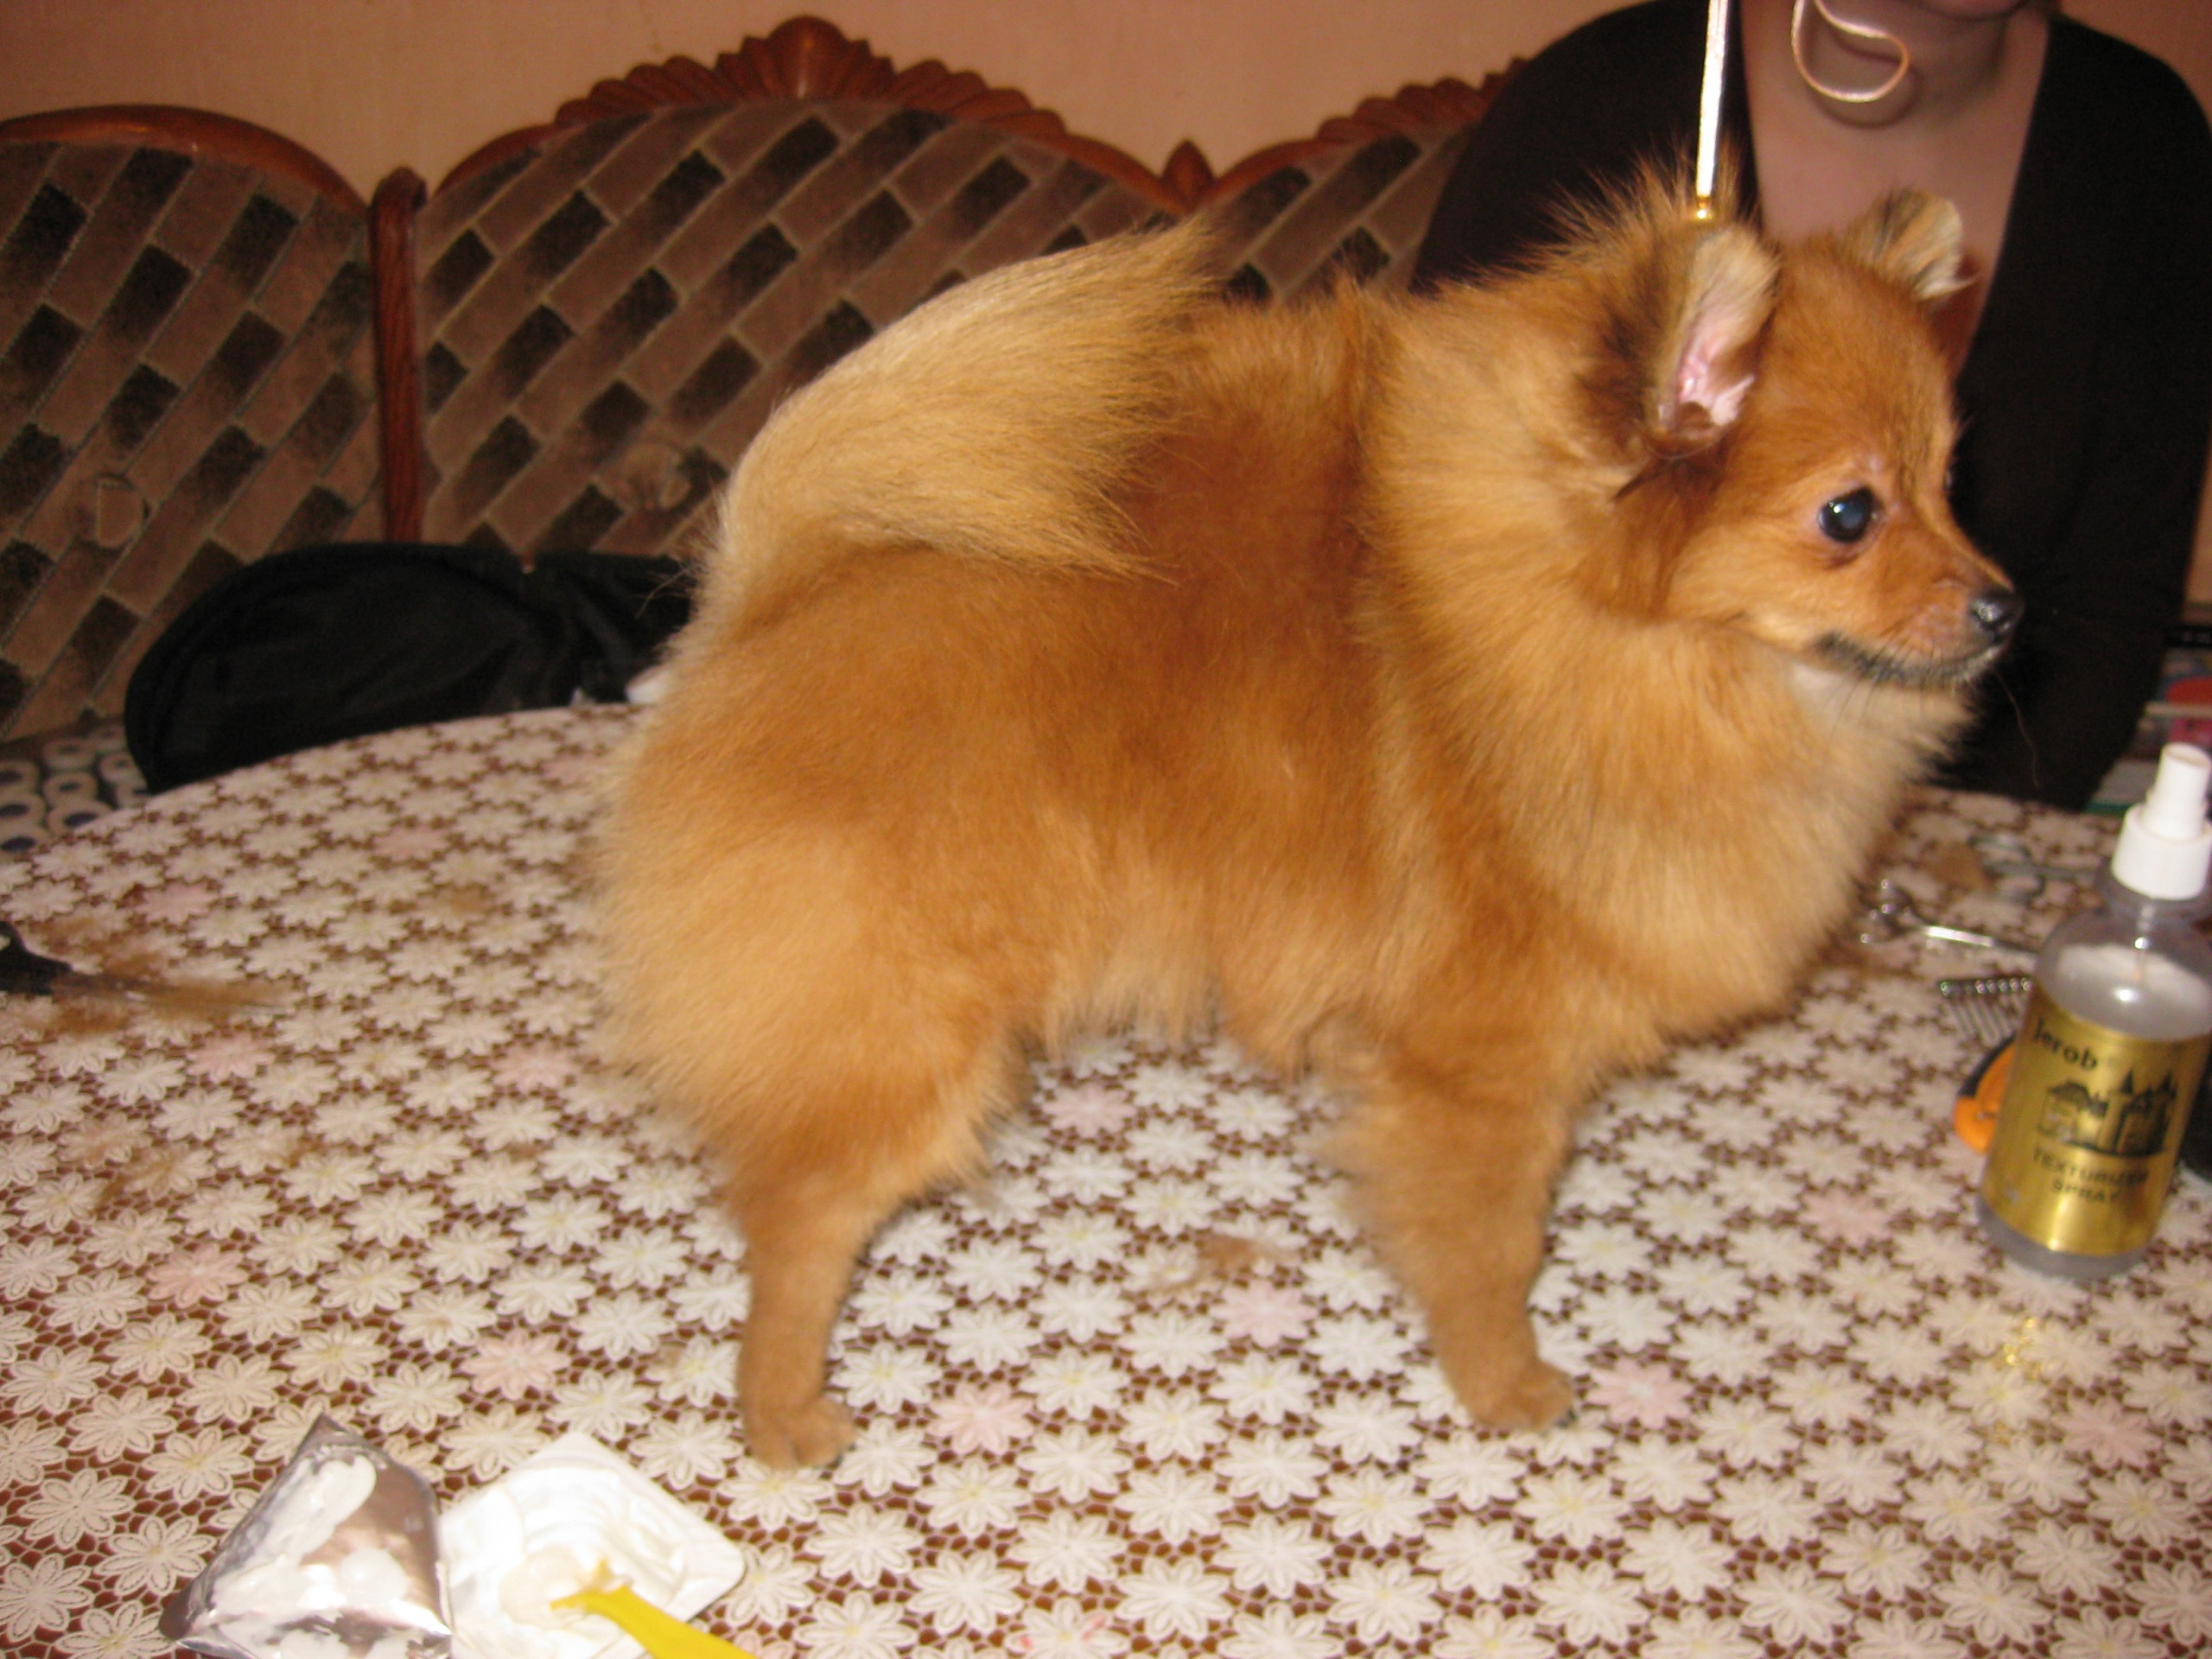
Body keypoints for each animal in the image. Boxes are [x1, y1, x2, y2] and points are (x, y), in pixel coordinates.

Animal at [595, 175, 2017, 1468]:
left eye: (1953, 483)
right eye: (1849, 514)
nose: (2005, 606)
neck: (1580, 637)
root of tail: (773, 586)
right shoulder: (1478, 1070)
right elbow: (1489, 1248)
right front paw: (1504, 1381)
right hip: (903, 1029)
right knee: (799, 1222)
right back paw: (783, 1414)